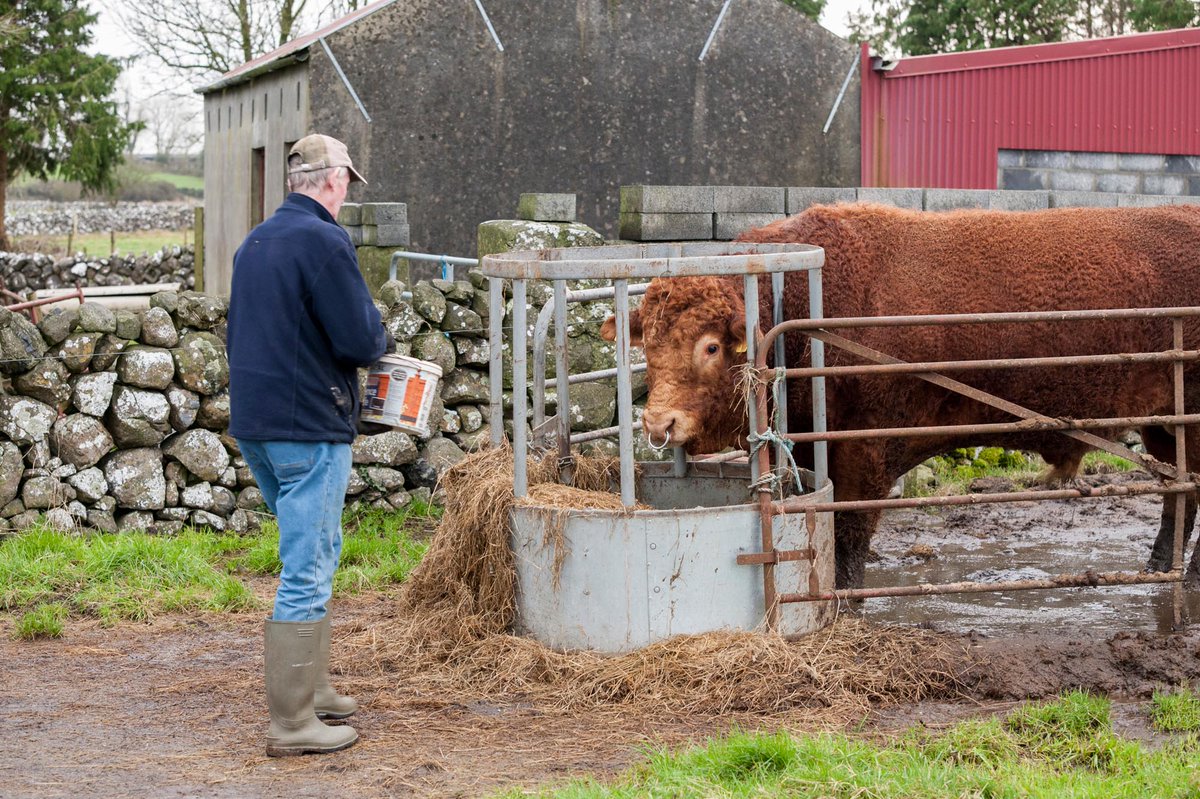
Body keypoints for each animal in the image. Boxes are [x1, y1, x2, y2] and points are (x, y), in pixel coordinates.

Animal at [600, 202, 1200, 590]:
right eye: (648, 344)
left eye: (709, 346)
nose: (659, 424)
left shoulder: (866, 452)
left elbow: (849, 531)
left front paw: (845, 600)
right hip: (1165, 425)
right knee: (1181, 493)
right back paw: (1157, 570)